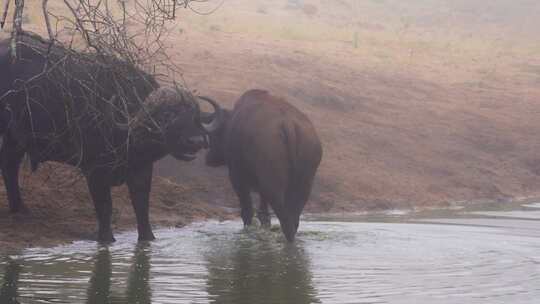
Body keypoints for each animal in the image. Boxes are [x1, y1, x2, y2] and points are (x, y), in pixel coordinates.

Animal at [0, 32, 221, 242]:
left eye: (195, 115)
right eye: (168, 115)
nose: (196, 142)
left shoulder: (142, 169)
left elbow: (142, 207)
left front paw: (147, 238)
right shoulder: (94, 171)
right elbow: (105, 207)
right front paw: (106, 239)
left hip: (15, 139)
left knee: (9, 164)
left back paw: (20, 208)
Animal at [205, 89, 322, 241]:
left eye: (213, 136)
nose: (208, 158)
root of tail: (288, 124)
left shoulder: (237, 178)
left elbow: (247, 210)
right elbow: (263, 213)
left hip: (272, 186)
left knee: (285, 220)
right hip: (303, 186)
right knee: (293, 218)